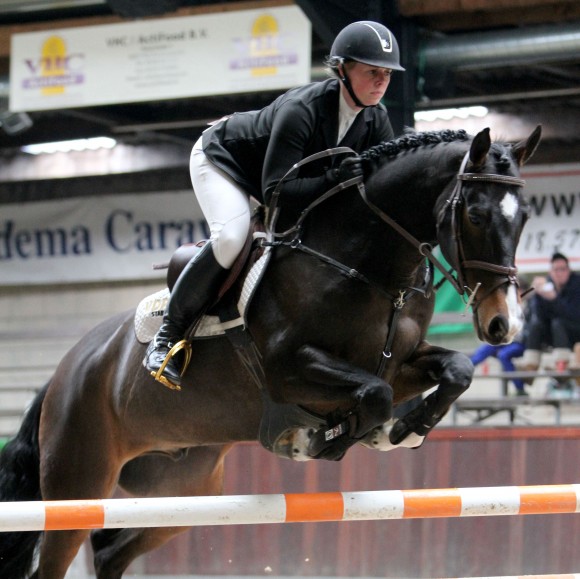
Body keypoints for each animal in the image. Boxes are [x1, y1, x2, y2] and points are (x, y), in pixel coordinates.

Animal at [0, 124, 540, 576]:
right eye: (475, 214)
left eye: (525, 218)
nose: (502, 323)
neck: (365, 263)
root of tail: (63, 373)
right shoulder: (289, 369)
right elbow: (373, 394)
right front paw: (325, 439)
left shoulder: (398, 362)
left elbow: (454, 370)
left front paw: (403, 431)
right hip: (78, 481)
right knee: (60, 554)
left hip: (182, 489)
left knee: (111, 549)